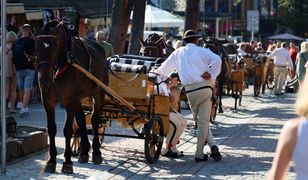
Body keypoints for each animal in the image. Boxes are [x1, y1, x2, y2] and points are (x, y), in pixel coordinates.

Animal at [33, 19, 107, 173]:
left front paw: (67, 162)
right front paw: (51, 160)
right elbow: (52, 129)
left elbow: (67, 130)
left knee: (94, 120)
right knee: (82, 120)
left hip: (99, 94)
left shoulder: (70, 100)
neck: (63, 64)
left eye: (54, 47)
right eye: (36, 47)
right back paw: (84, 151)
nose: (44, 80)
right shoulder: (48, 100)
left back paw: (96, 152)